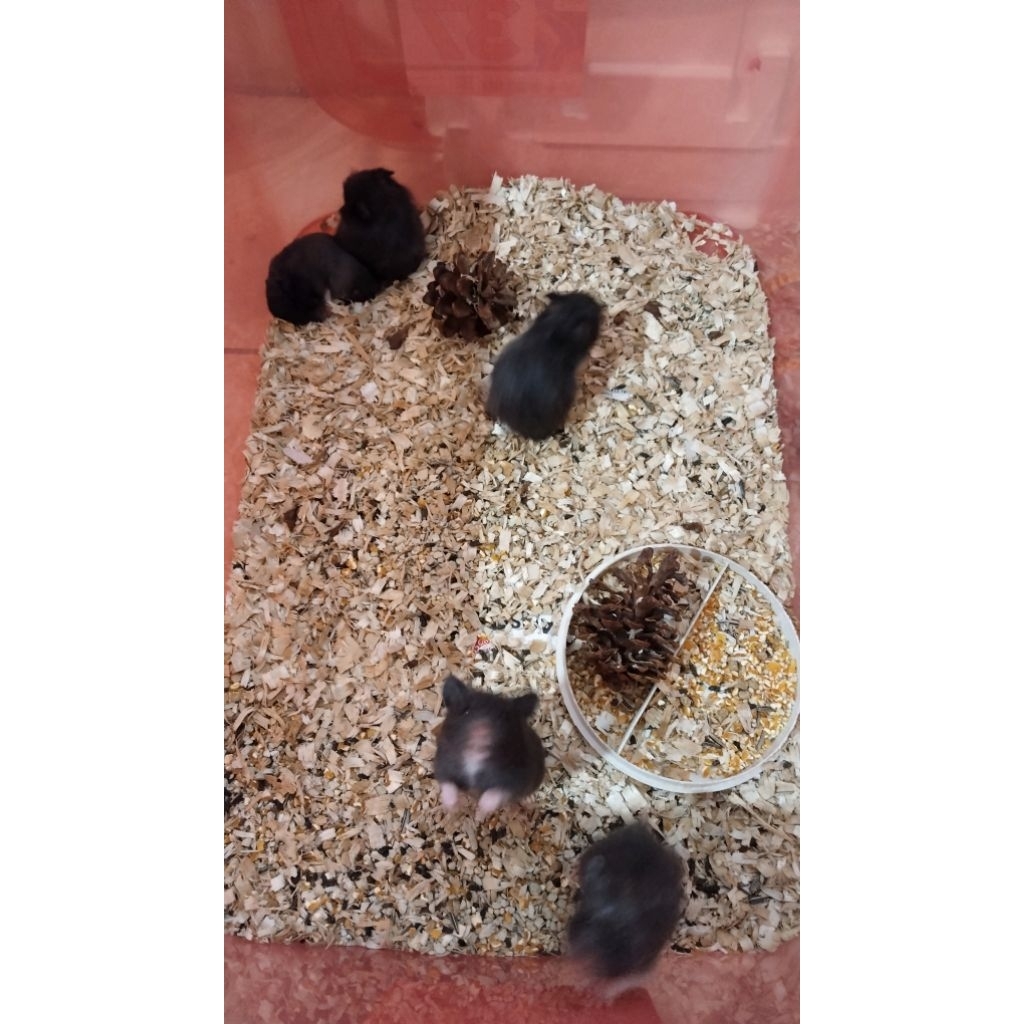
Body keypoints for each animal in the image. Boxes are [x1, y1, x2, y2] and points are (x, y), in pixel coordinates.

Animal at [433, 674, 545, 821]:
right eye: (466, 711)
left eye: (505, 717)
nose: (481, 731)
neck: (475, 755)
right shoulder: (443, 763)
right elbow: (447, 785)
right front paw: (453, 809)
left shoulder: (515, 777)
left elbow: (495, 793)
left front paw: (480, 812)